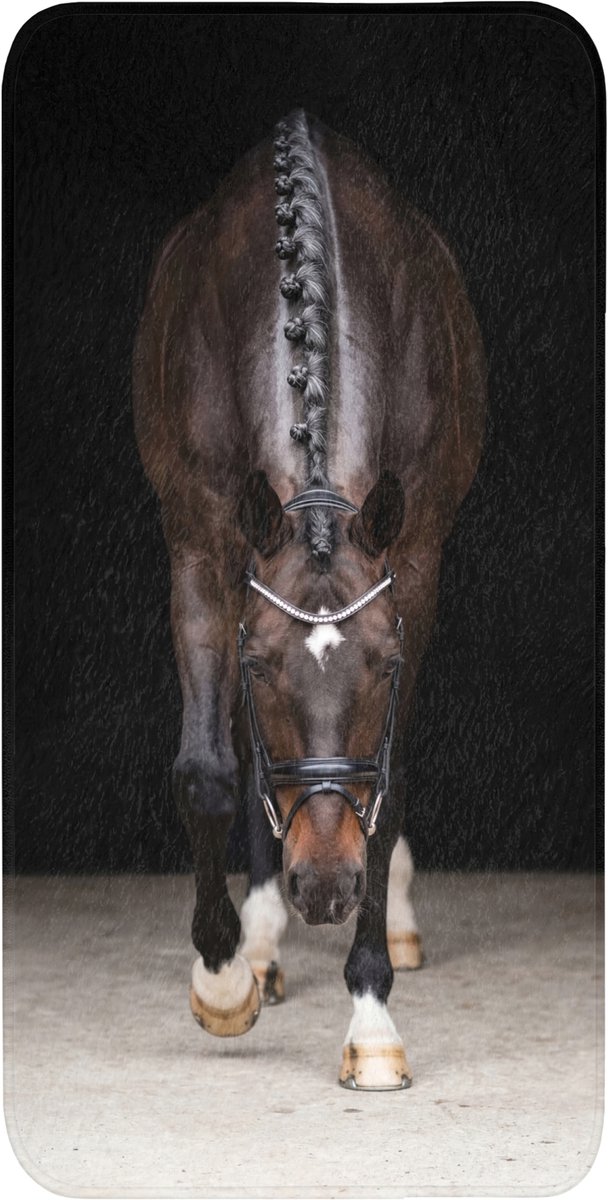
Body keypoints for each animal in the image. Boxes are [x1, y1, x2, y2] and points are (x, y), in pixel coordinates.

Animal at [133, 110, 485, 1090]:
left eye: (385, 666)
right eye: (259, 669)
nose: (325, 886)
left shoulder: (415, 564)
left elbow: (386, 789)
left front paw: (371, 1017)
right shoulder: (201, 544)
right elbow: (210, 769)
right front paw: (222, 979)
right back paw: (259, 942)